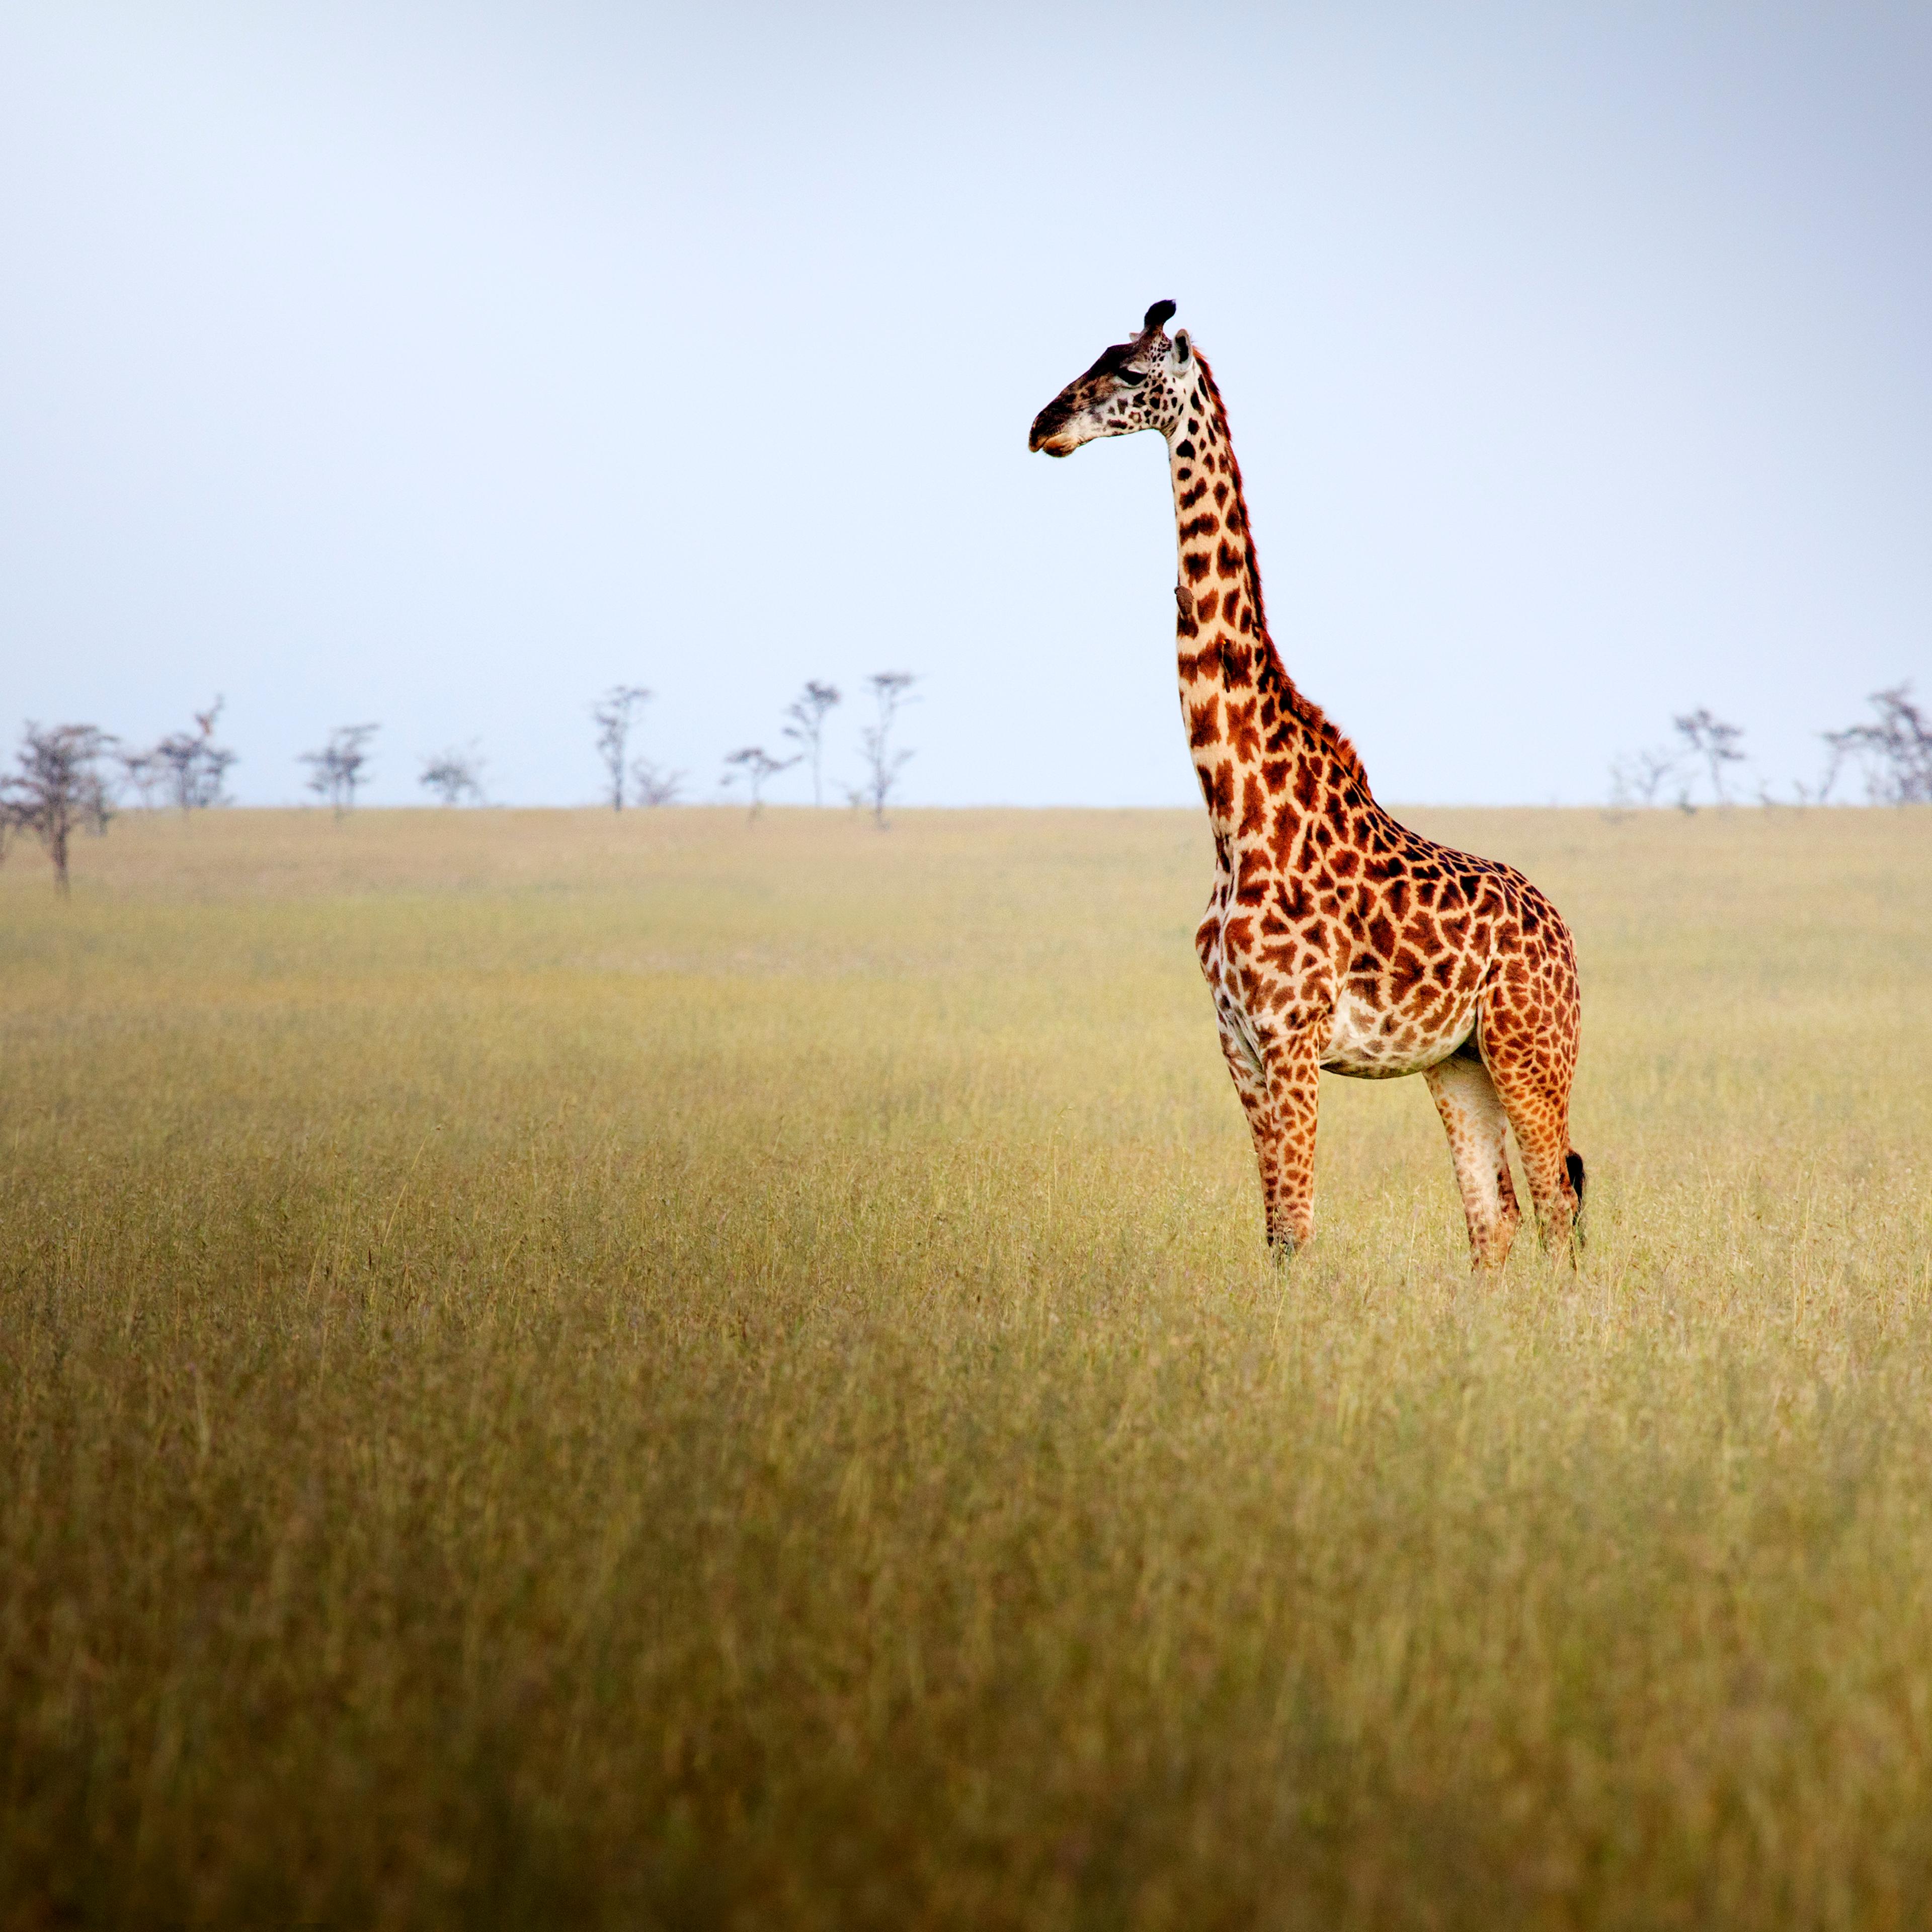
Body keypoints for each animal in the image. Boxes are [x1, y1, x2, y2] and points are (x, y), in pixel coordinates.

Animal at [1029, 301, 1584, 1268]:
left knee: (1557, 1212)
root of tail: (1567, 939)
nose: (1043, 426)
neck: (1235, 815)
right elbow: (1275, 1232)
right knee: (1496, 1219)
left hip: (1531, 1049)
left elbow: (1297, 1226)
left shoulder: (1291, 1038)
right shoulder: (1236, 1041)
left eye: (1130, 374)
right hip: (1459, 1060)